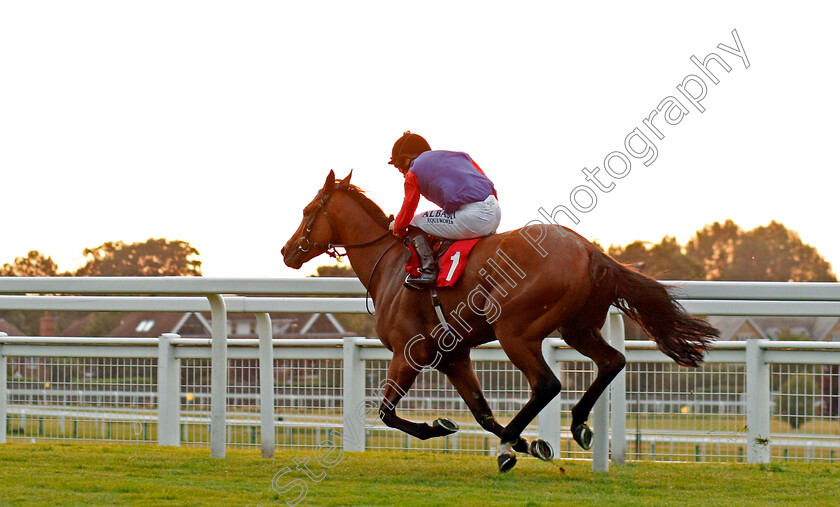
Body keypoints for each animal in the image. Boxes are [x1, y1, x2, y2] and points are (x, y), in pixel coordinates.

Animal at [282, 171, 716, 472]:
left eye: (306, 211)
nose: (287, 251)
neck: (389, 264)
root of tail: (591, 251)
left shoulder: (410, 352)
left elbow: (387, 413)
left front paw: (442, 428)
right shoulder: (453, 357)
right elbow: (481, 412)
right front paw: (525, 442)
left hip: (515, 331)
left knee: (548, 383)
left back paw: (510, 443)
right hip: (578, 327)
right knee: (612, 361)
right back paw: (574, 425)